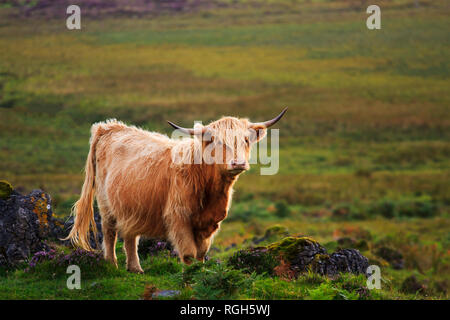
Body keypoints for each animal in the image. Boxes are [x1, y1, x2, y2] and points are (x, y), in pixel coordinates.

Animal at [65, 108, 286, 272]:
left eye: (246, 141)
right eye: (218, 141)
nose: (238, 163)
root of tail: (109, 126)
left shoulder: (209, 223)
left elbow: (201, 254)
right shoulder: (179, 217)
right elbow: (188, 253)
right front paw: (190, 277)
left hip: (131, 205)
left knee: (130, 235)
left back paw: (135, 268)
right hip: (105, 203)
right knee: (110, 232)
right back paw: (112, 264)